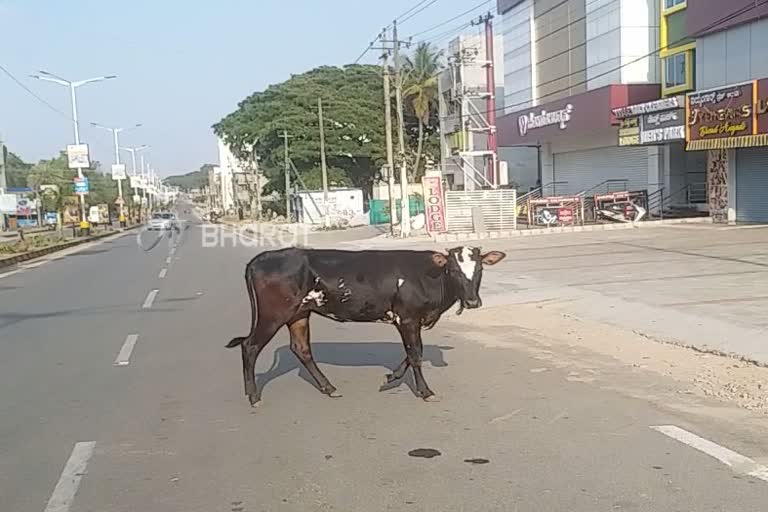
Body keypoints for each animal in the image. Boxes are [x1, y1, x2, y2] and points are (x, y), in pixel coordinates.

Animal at [226, 246, 504, 406]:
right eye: (454, 270)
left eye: (479, 270)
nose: (473, 302)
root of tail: (259, 259)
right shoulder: (408, 318)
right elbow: (415, 354)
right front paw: (425, 392)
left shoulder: (409, 320)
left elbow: (411, 353)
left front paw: (391, 377)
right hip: (273, 313)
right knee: (250, 346)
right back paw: (253, 397)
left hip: (299, 313)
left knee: (301, 348)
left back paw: (329, 388)